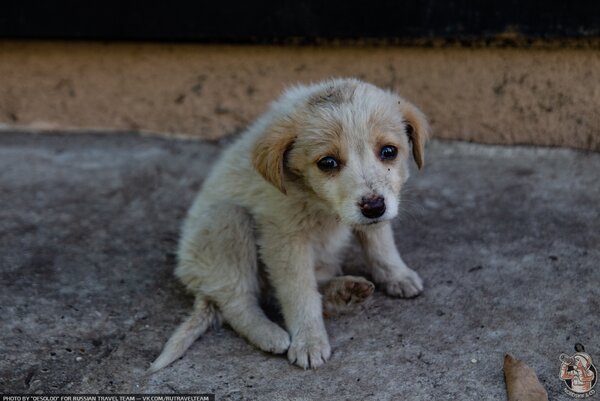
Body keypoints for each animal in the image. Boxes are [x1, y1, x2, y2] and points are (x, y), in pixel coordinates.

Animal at [151, 79, 432, 372]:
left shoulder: (374, 214)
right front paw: (308, 341)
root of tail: (196, 279)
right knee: (237, 301)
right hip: (227, 220)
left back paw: (345, 292)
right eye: (328, 162)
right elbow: (299, 292)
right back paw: (270, 335)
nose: (374, 207)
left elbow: (381, 245)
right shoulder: (285, 239)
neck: (320, 205)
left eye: (389, 151)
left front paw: (397, 275)